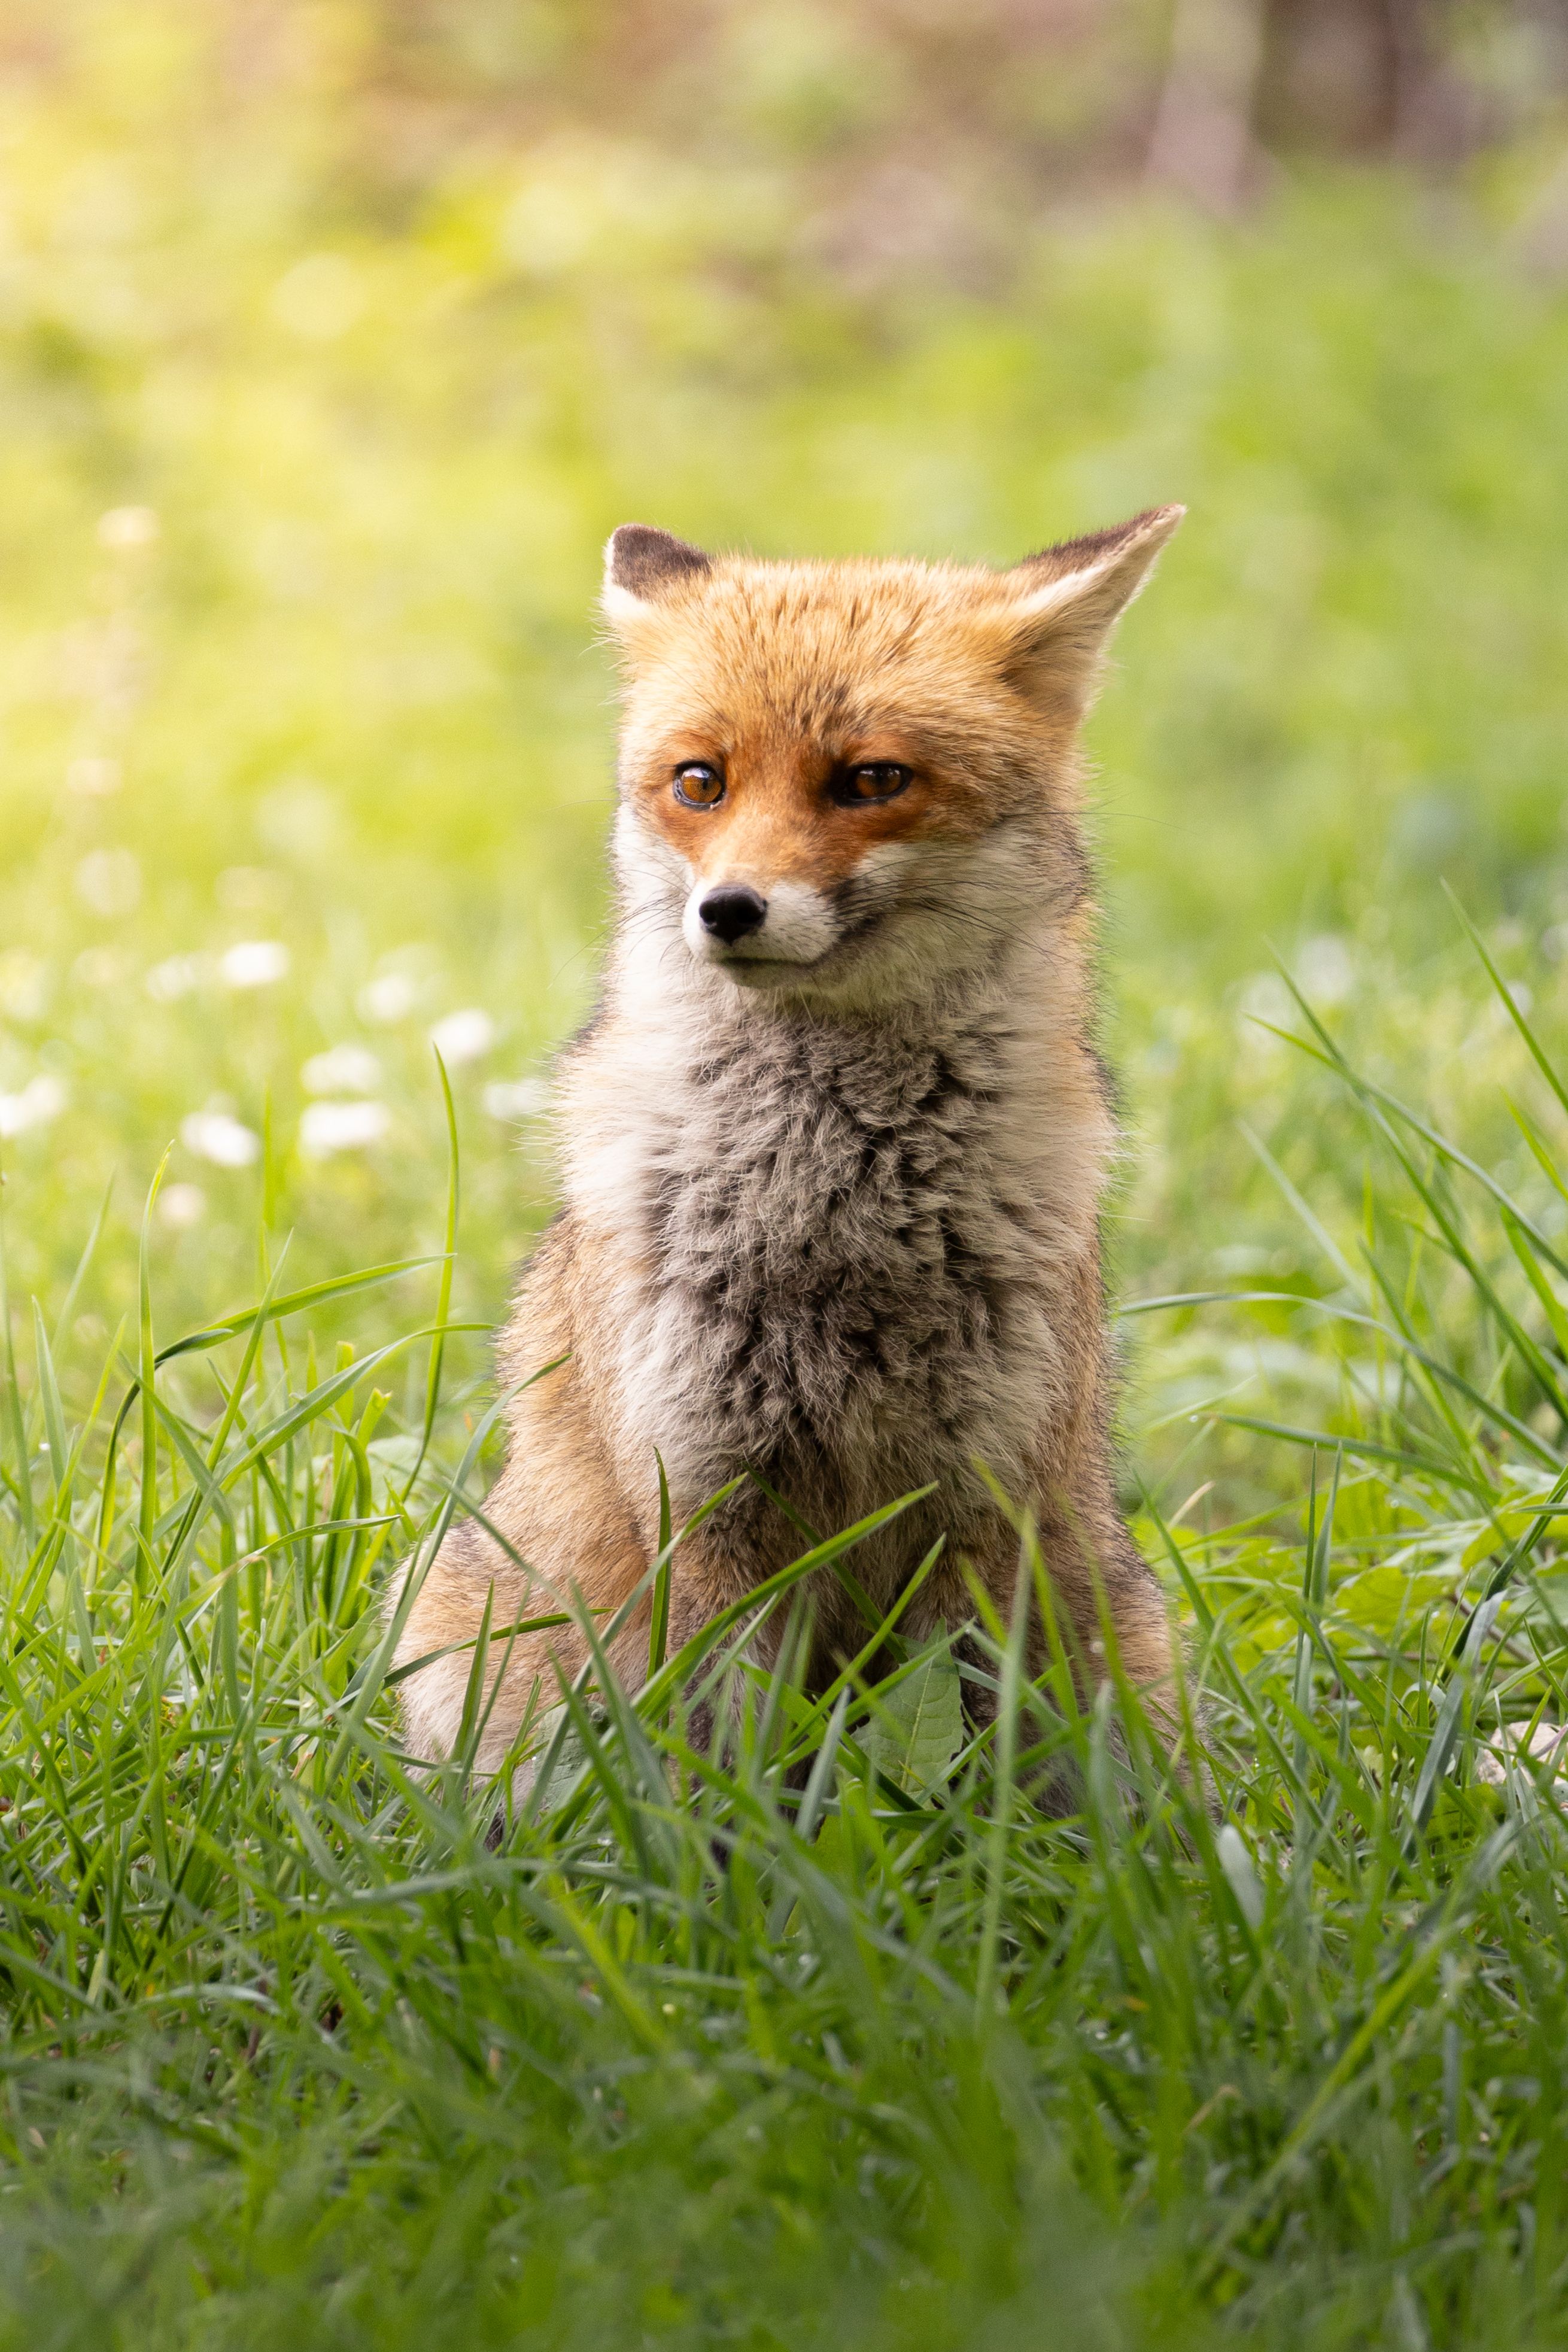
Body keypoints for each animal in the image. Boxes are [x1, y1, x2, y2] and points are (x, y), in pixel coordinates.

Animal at [393, 505, 1185, 1779]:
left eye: (872, 780)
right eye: (700, 782)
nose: (727, 910)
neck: (836, 1214)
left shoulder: (975, 1504)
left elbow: (954, 1762)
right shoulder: (705, 1497)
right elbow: (730, 1763)